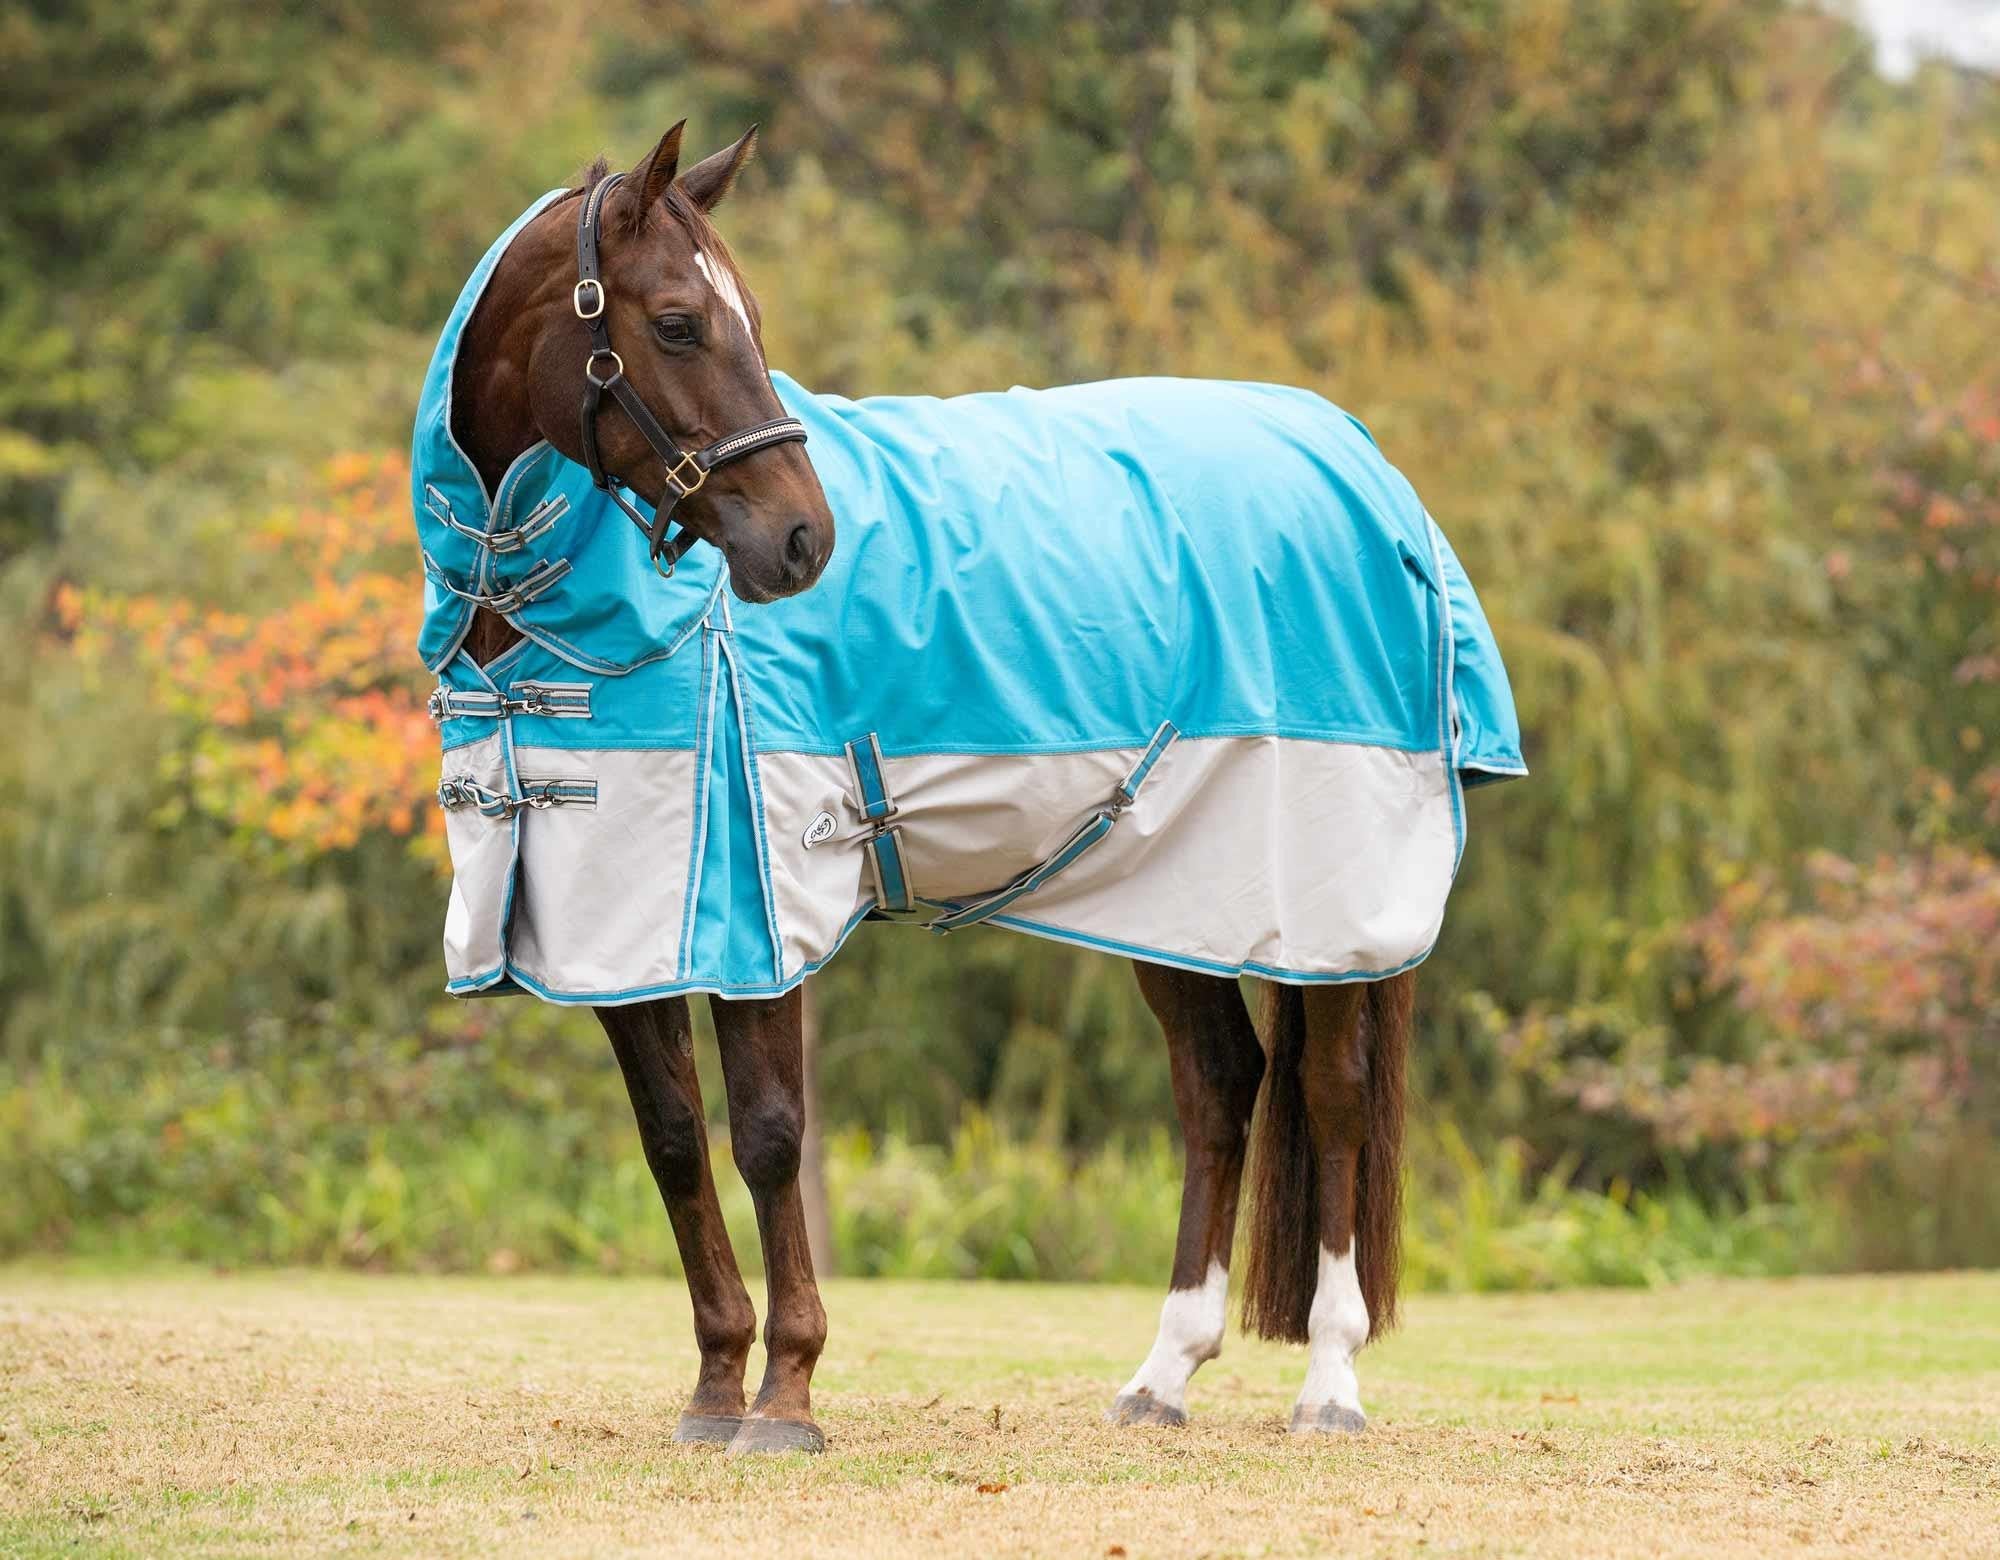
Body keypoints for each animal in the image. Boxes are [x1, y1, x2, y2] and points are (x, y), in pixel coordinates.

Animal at [422, 122, 1521, 1454]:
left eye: (745, 320)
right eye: (678, 322)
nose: (802, 542)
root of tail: (1358, 465)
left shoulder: (761, 903)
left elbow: (771, 1136)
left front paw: (785, 1398)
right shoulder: (614, 918)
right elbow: (675, 1143)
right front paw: (714, 1388)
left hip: (1330, 885)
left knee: (1335, 1091)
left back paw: (1328, 1385)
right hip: (1174, 891)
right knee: (1219, 1087)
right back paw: (1161, 1375)